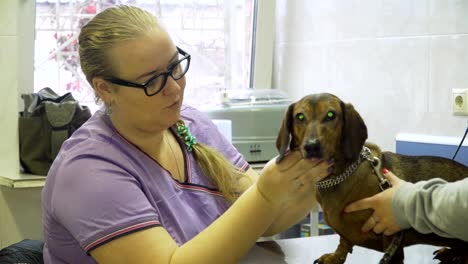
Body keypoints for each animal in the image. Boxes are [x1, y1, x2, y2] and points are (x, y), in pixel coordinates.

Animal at [276, 93, 466, 264]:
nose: (311, 146)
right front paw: (336, 256)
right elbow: (343, 242)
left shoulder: (392, 238)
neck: (338, 177)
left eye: (331, 115)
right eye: (300, 116)